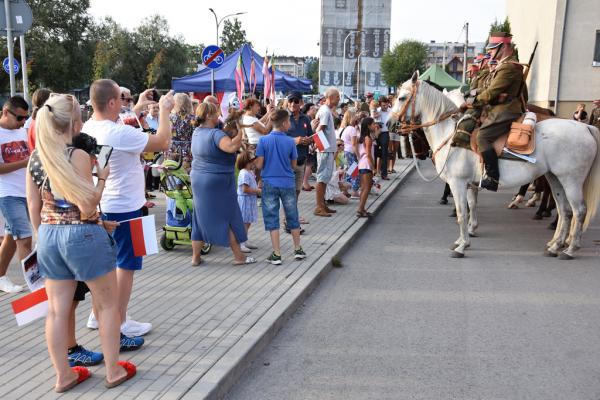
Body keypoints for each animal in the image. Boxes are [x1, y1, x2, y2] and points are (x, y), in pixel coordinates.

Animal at [392, 72, 596, 260]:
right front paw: (465, 237)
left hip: (571, 180)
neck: (452, 135)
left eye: (402, 97)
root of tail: (586, 127)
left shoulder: (458, 183)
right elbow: (471, 206)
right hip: (555, 178)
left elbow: (462, 213)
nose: (391, 124)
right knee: (564, 210)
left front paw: (462, 246)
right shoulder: (470, 184)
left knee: (578, 211)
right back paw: (555, 245)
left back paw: (569, 249)